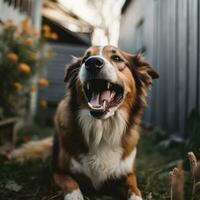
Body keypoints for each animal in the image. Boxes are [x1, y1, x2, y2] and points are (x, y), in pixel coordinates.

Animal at [10, 45, 158, 200]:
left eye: (116, 58)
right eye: (85, 59)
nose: (92, 63)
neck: (102, 129)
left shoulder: (128, 173)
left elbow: (134, 189)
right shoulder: (57, 170)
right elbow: (71, 183)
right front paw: (75, 196)